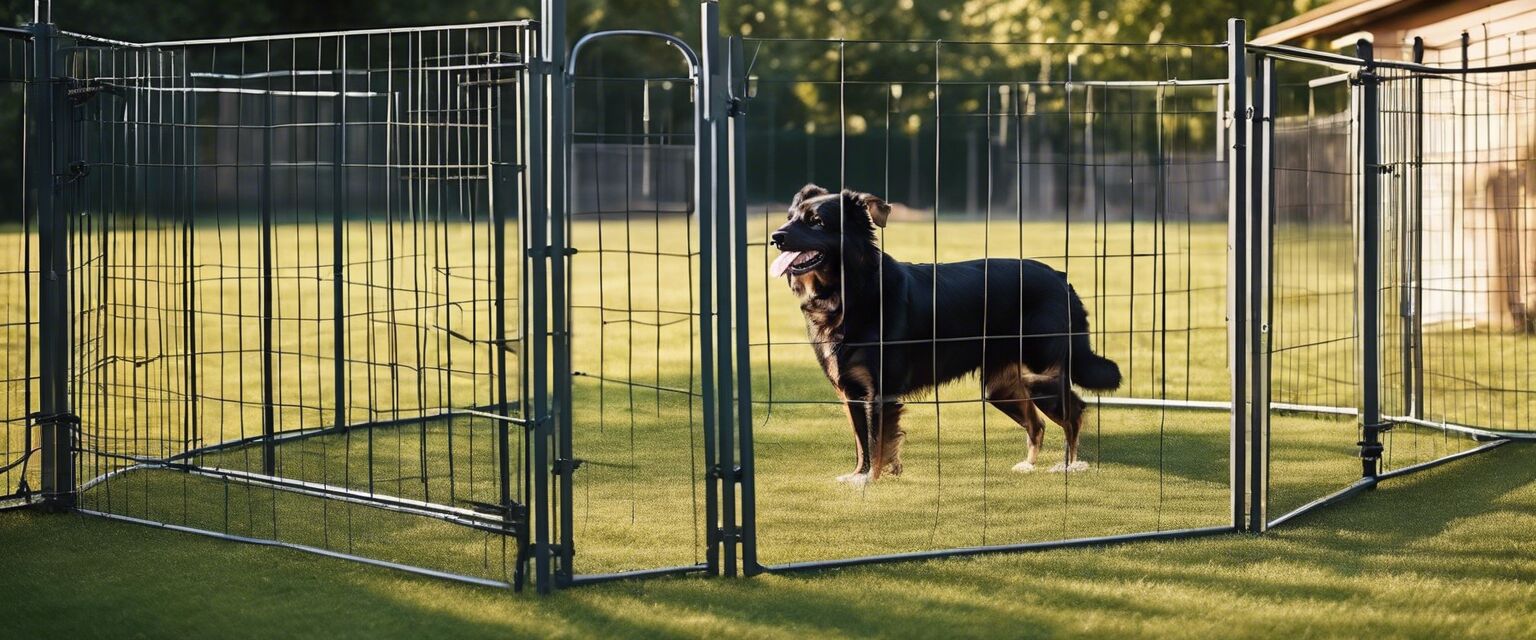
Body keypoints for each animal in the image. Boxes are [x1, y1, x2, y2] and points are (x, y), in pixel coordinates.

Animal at [774, 183, 1124, 484]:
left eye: (817, 223)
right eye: (790, 218)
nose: (775, 237)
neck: (850, 291)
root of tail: (1062, 280)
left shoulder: (880, 391)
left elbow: (876, 442)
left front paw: (871, 481)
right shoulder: (851, 392)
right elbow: (862, 442)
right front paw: (860, 475)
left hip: (1041, 377)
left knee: (1075, 412)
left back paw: (1069, 466)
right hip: (1002, 388)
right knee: (1037, 423)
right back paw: (1028, 465)